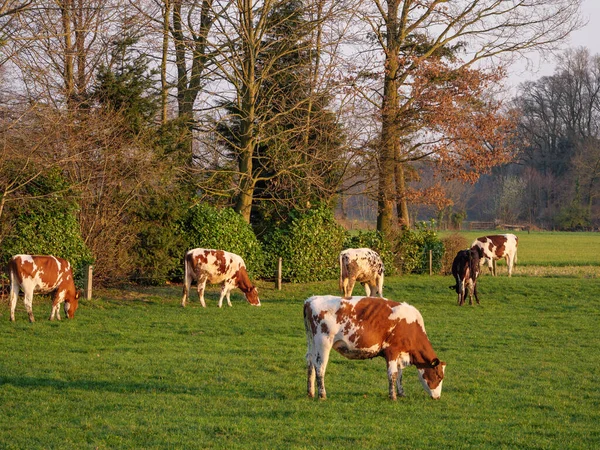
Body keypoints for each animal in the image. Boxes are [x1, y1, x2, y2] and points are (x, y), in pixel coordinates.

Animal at [304, 296, 446, 400]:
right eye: (439, 376)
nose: (438, 397)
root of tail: (311, 299)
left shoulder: (400, 354)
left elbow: (400, 375)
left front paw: (401, 393)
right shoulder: (392, 351)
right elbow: (393, 374)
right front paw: (393, 396)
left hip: (312, 343)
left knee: (310, 363)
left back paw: (310, 392)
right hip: (323, 343)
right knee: (320, 367)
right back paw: (322, 395)